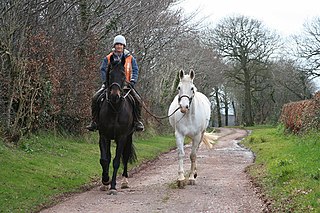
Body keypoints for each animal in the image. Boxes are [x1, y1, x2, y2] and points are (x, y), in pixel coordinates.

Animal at [99, 54, 136, 195]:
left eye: (122, 74)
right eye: (110, 73)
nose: (115, 95)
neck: (115, 108)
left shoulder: (122, 137)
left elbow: (116, 161)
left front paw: (113, 186)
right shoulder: (104, 135)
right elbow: (104, 159)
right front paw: (105, 181)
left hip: (129, 137)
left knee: (125, 157)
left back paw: (125, 182)